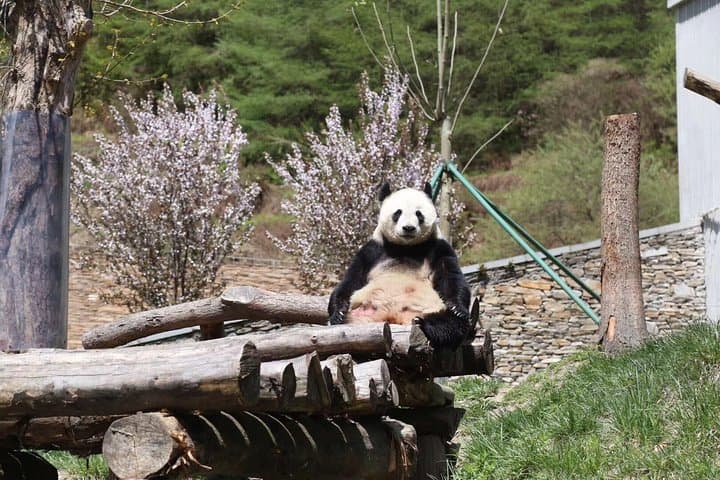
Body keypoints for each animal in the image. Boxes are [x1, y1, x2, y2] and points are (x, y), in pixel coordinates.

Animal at [328, 182, 471, 349]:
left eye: (418, 214)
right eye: (398, 213)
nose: (408, 228)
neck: (406, 247)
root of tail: (391, 317)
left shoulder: (438, 247)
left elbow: (450, 276)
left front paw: (458, 308)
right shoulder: (373, 251)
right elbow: (352, 279)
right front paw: (338, 312)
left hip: (430, 308)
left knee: (452, 324)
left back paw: (425, 324)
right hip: (358, 312)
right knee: (342, 325)